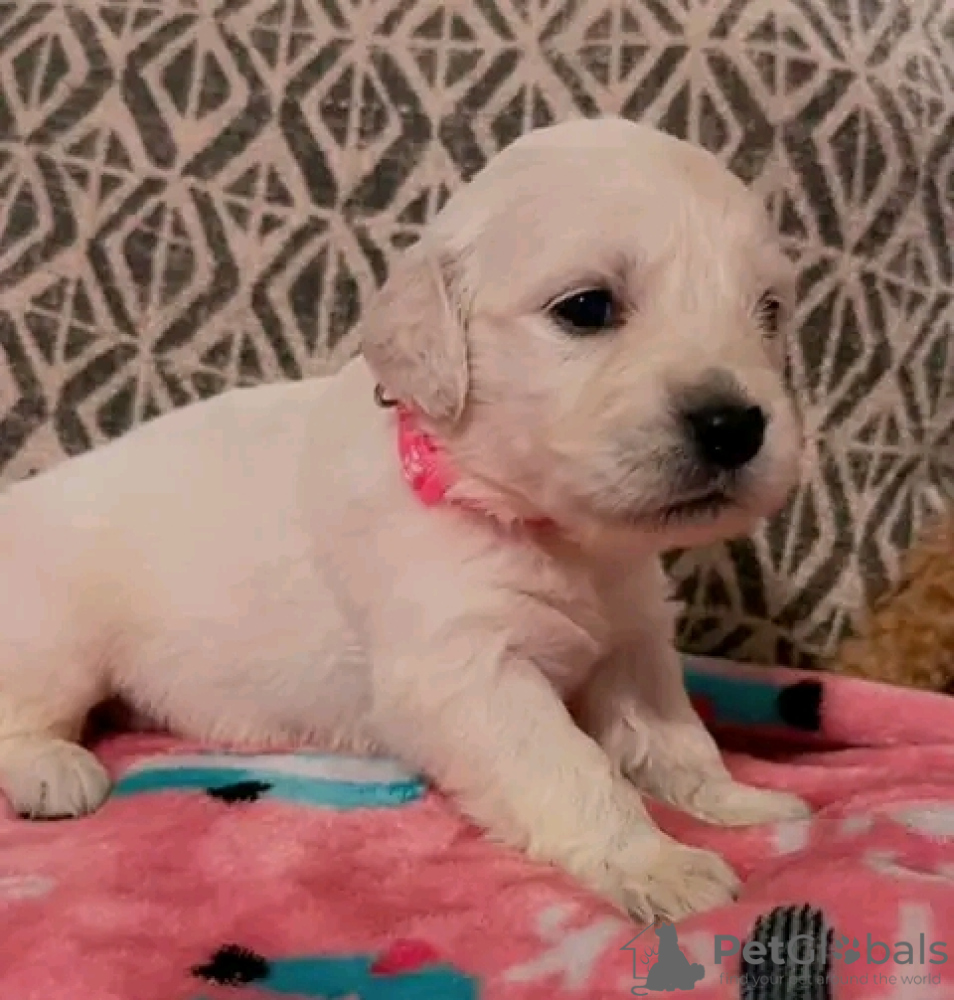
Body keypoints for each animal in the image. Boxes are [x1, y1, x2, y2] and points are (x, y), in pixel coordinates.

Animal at [0, 116, 809, 921]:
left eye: (769, 311)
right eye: (587, 308)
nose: (734, 426)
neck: (549, 531)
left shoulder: (633, 644)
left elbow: (673, 736)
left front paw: (739, 802)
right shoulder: (464, 667)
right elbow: (573, 768)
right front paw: (659, 864)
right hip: (55, 636)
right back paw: (52, 769)